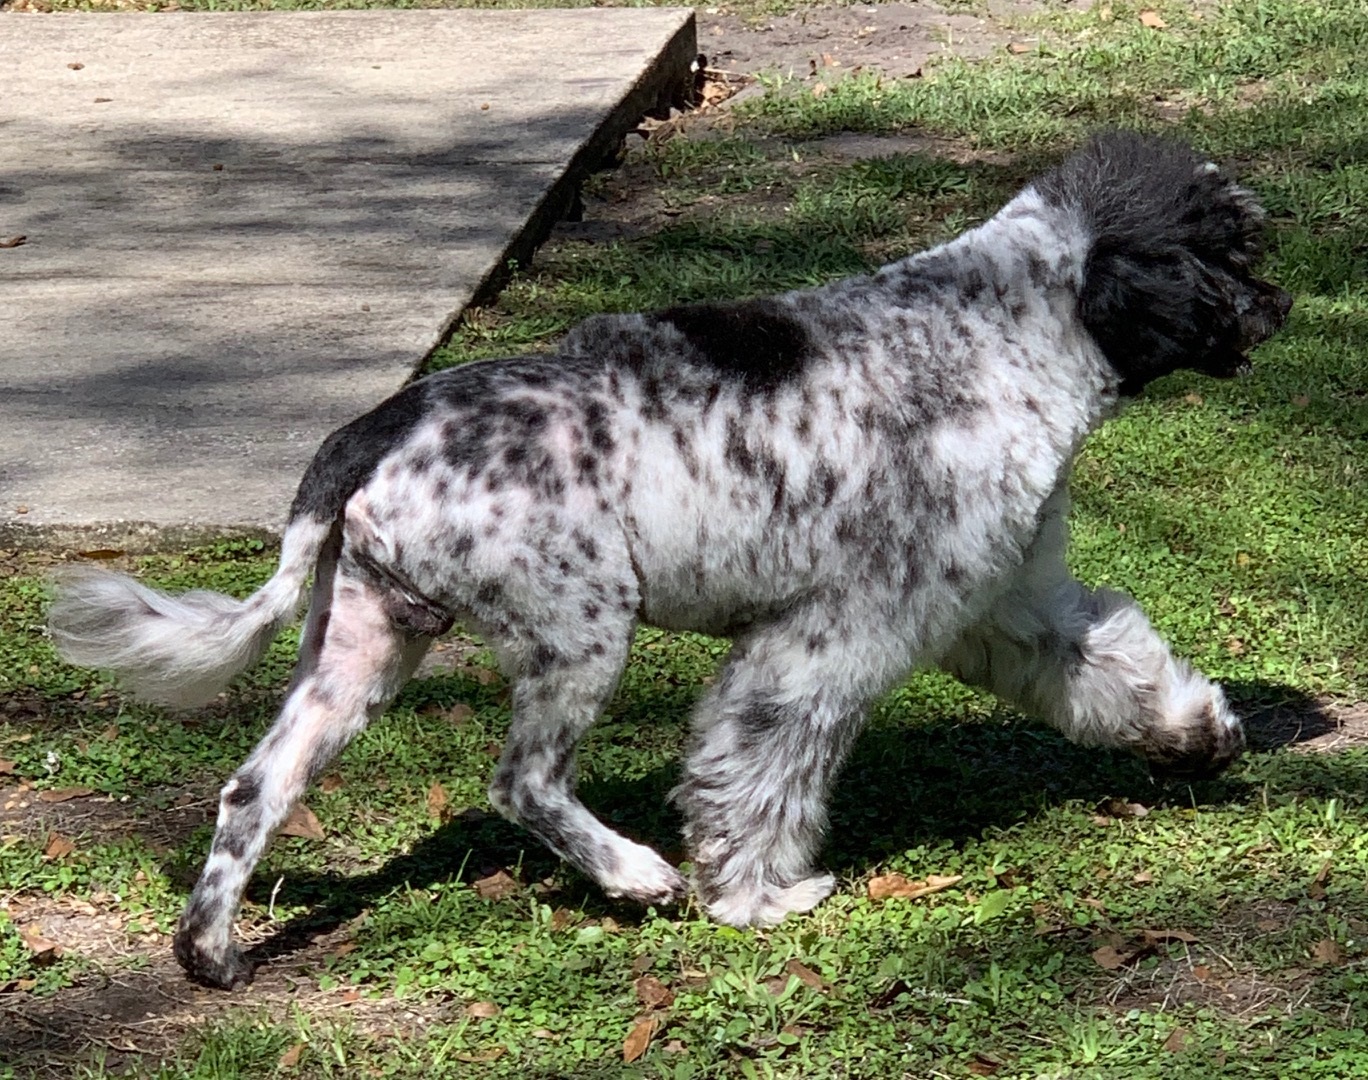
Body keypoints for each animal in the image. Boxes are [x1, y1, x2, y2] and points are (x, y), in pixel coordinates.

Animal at [48, 130, 1291, 991]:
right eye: (1228, 253)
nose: (1281, 306)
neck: (1002, 329)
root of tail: (389, 421)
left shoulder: (1007, 609)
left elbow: (1113, 669)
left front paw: (1194, 734)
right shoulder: (828, 637)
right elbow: (763, 770)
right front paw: (756, 894)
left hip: (362, 648)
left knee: (254, 788)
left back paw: (211, 949)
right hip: (579, 631)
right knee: (522, 782)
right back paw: (636, 874)